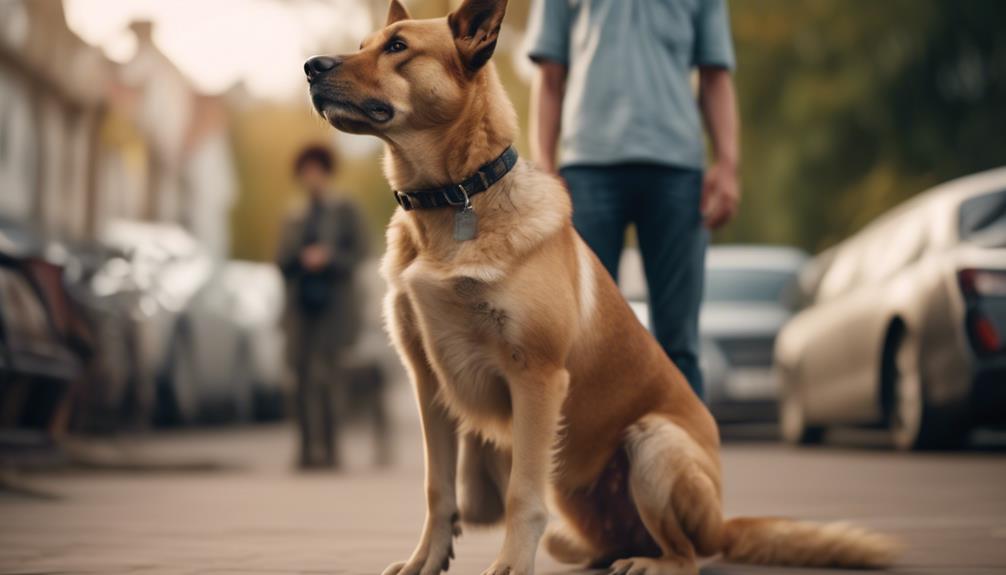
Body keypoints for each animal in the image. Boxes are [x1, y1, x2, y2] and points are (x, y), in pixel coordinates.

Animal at [301, 2, 901, 570]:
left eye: (397, 47)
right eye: (364, 44)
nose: (310, 66)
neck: (454, 199)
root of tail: (723, 523)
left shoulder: (536, 378)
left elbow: (521, 493)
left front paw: (510, 565)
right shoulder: (429, 385)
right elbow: (438, 490)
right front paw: (426, 561)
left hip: (652, 441)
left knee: (685, 555)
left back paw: (650, 563)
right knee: (607, 545)